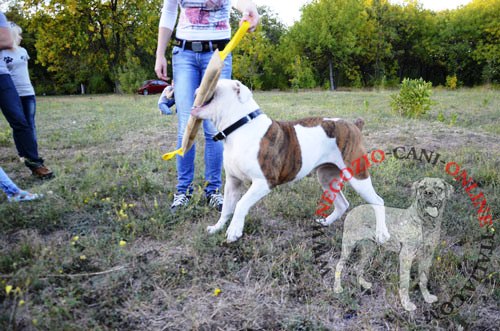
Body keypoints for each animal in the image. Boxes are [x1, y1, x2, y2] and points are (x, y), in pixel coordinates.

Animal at [189, 80, 388, 244]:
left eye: (215, 83)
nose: (197, 88)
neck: (241, 126)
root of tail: (354, 125)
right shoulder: (232, 182)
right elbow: (226, 209)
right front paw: (217, 227)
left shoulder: (264, 182)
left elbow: (240, 204)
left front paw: (234, 231)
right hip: (326, 175)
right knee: (342, 204)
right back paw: (326, 222)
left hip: (357, 176)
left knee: (378, 201)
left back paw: (381, 234)